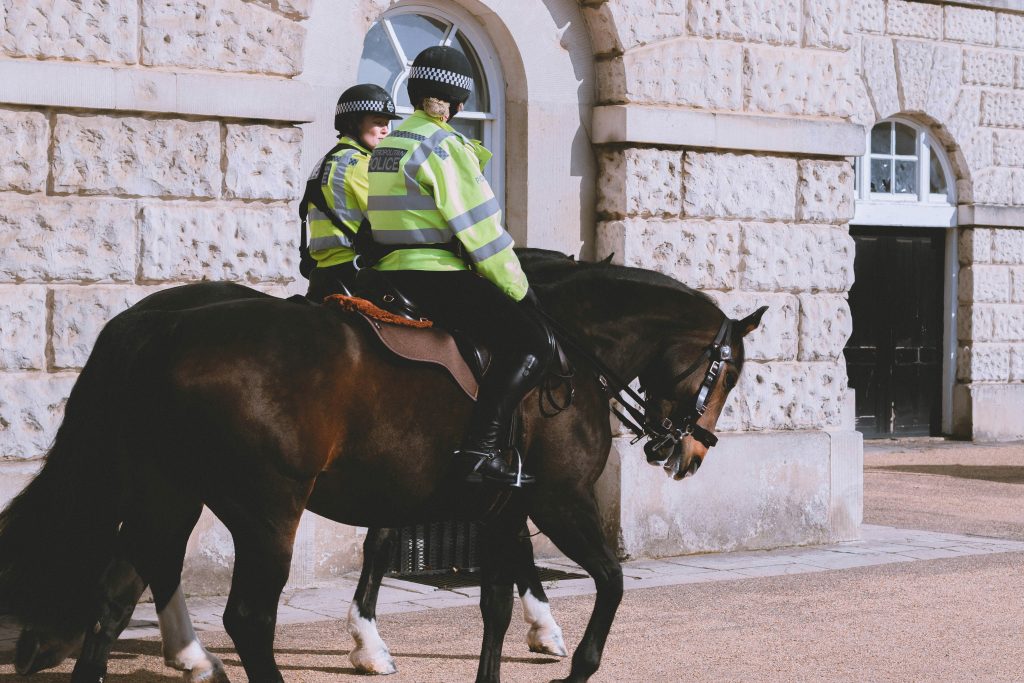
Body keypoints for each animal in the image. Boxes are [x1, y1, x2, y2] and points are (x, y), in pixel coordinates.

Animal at [0, 259, 761, 679]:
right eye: (726, 373)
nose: (688, 452)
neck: (567, 358)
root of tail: (162, 326)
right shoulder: (558, 501)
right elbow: (610, 581)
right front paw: (571, 658)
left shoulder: (501, 509)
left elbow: (492, 603)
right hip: (266, 510)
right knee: (246, 617)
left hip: (170, 491)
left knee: (115, 592)